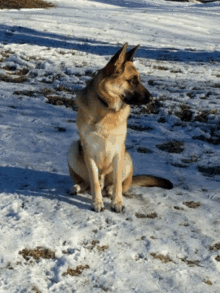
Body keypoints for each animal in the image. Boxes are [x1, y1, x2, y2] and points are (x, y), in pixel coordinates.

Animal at [68, 42, 173, 212]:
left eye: (138, 80)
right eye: (133, 80)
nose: (152, 99)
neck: (107, 108)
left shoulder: (118, 150)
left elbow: (118, 182)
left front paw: (117, 202)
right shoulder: (89, 150)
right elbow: (94, 181)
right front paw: (97, 202)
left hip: (126, 158)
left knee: (122, 184)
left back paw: (110, 190)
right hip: (73, 148)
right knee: (89, 182)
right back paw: (78, 187)